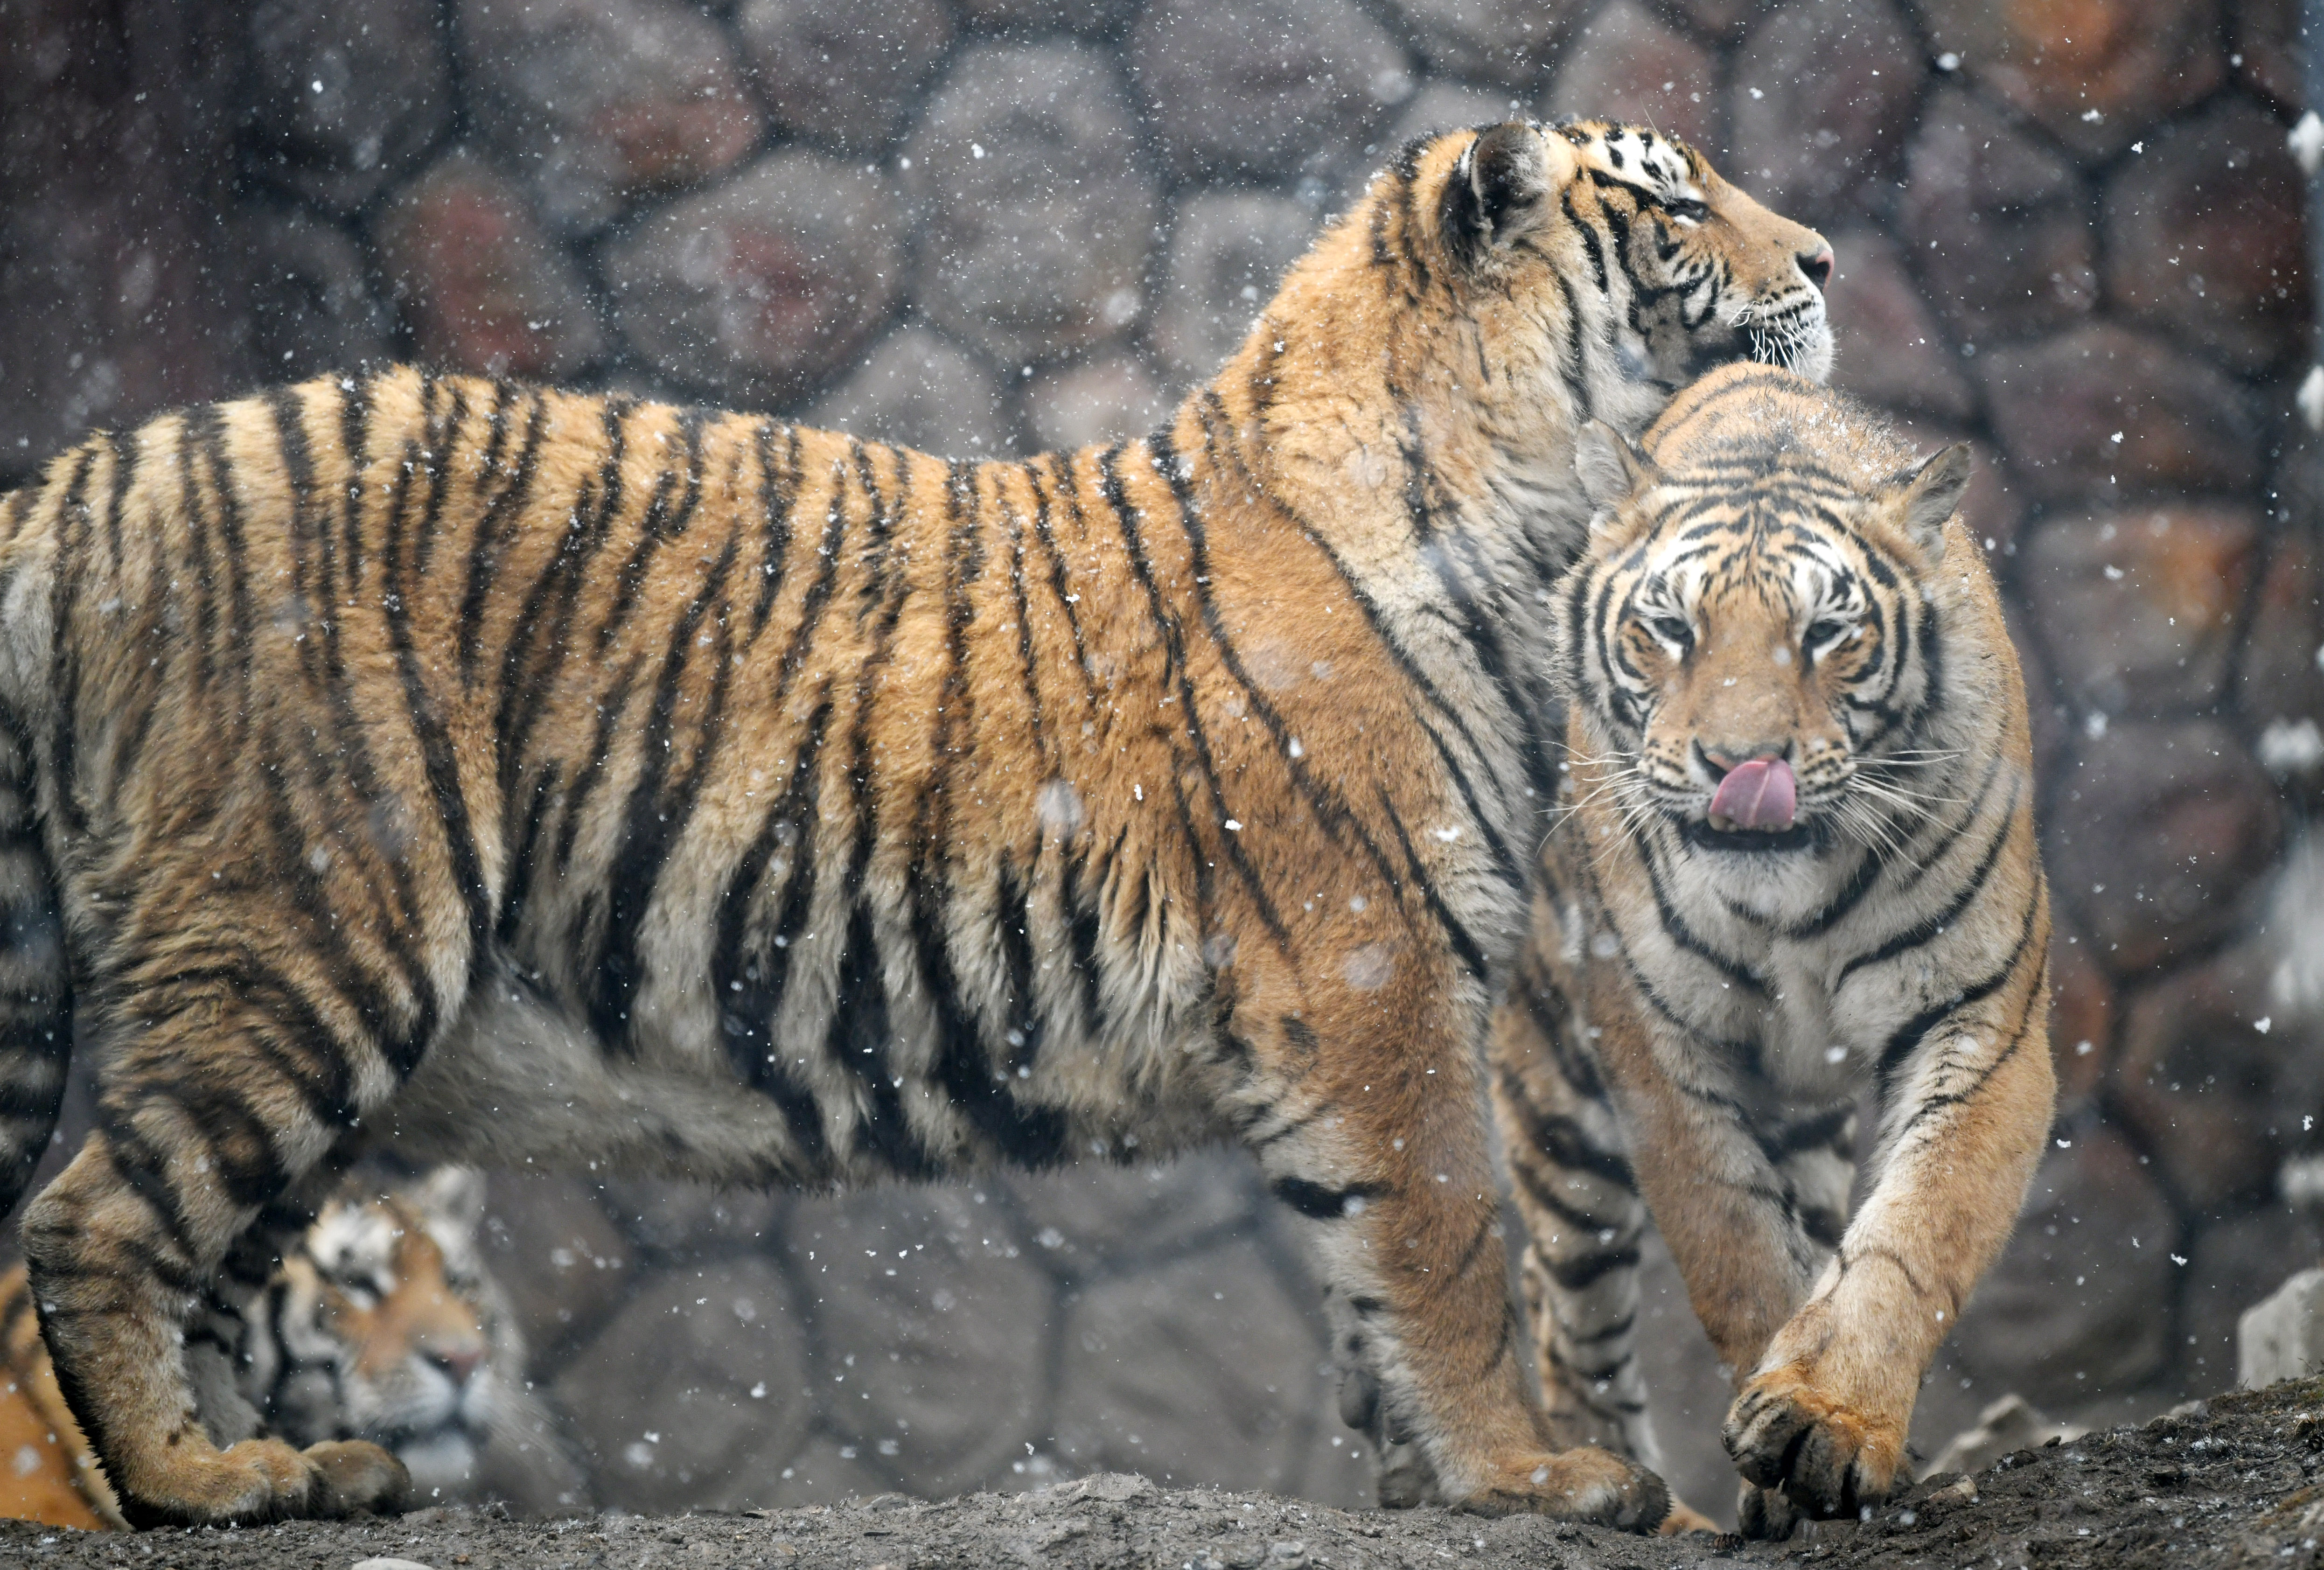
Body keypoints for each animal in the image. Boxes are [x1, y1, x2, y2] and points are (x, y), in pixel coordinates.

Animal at [1487, 364, 2054, 1533]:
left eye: (1828, 631)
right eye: (1668, 626)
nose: (1740, 763)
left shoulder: (1985, 1015)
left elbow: (1920, 1225)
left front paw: (1825, 1420)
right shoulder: (1657, 1048)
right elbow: (1736, 1246)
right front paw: (1780, 1438)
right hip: (1560, 1101)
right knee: (1567, 1319)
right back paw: (1641, 1499)